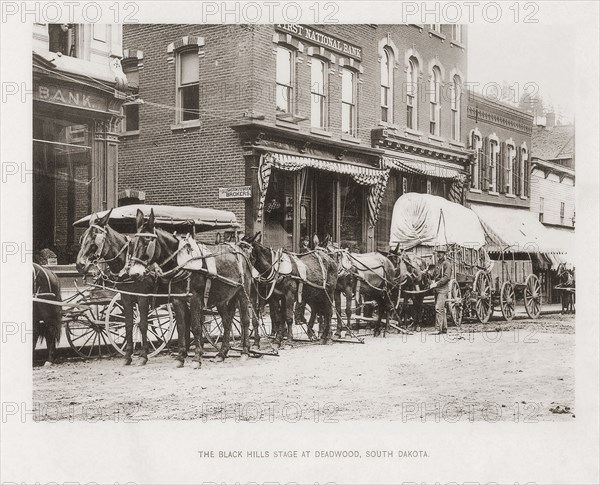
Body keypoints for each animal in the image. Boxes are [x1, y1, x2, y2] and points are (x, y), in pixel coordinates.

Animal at [76, 208, 190, 364]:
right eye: (82, 238)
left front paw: (143, 355)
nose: (79, 264)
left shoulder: (143, 298)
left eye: (95, 238)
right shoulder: (126, 298)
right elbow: (129, 324)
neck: (127, 262)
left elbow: (142, 324)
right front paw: (128, 356)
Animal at [129, 208, 253, 366]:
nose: (134, 273)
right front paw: (180, 356)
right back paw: (221, 353)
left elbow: (195, 327)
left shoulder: (195, 299)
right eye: (132, 243)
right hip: (223, 298)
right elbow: (182, 327)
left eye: (147, 241)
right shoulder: (177, 299)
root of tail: (240, 249)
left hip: (243, 292)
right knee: (227, 321)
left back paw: (245, 351)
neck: (182, 262)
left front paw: (197, 358)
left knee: (245, 320)